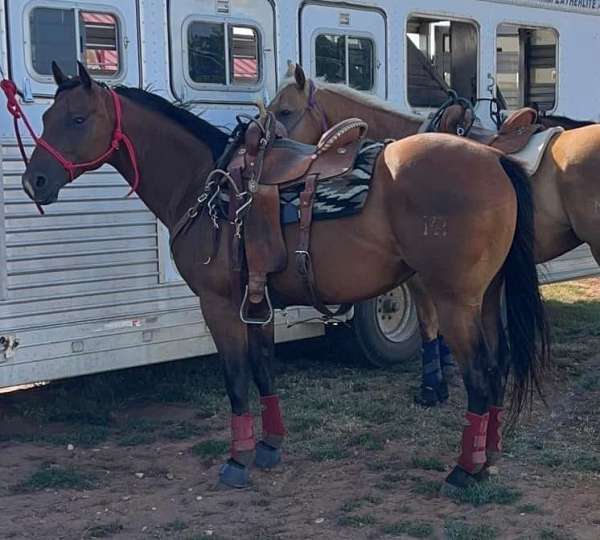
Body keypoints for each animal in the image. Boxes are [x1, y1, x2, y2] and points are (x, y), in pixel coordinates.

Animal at [21, 63, 552, 494]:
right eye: (47, 118)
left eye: (77, 119)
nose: (34, 182)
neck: (204, 183)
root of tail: (494, 159)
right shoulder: (256, 303)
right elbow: (263, 371)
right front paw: (269, 446)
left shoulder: (218, 305)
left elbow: (236, 378)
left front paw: (236, 460)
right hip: (486, 298)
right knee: (498, 366)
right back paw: (488, 456)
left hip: (455, 301)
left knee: (480, 375)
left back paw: (463, 470)